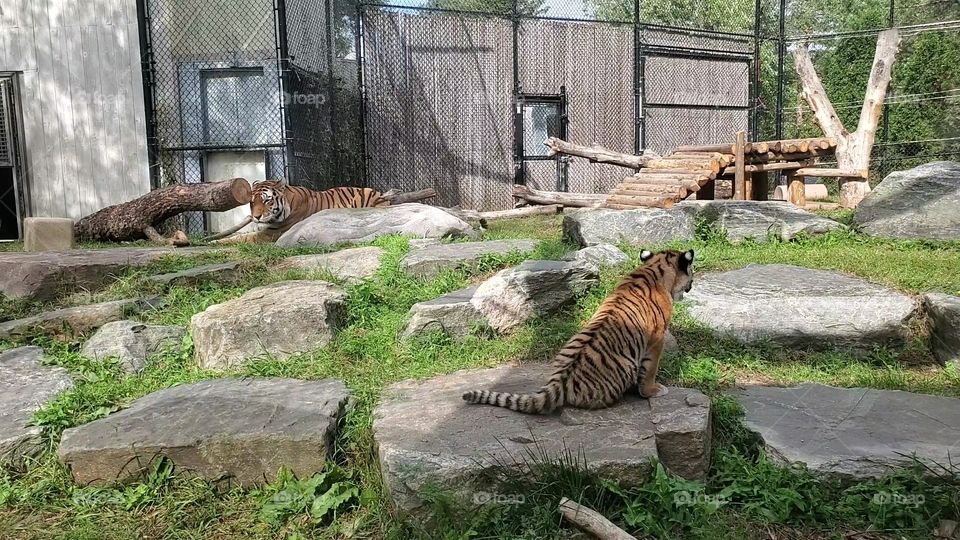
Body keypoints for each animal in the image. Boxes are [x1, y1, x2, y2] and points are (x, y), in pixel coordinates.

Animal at [212, 181, 390, 244]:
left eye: (267, 201)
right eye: (252, 202)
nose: (256, 217)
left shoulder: (270, 234)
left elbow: (242, 238)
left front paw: (214, 242)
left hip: (366, 193)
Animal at [462, 249, 695, 414]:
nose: (691, 285)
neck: (653, 270)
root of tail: (559, 384)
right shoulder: (657, 338)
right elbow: (650, 369)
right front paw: (653, 391)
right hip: (624, 367)